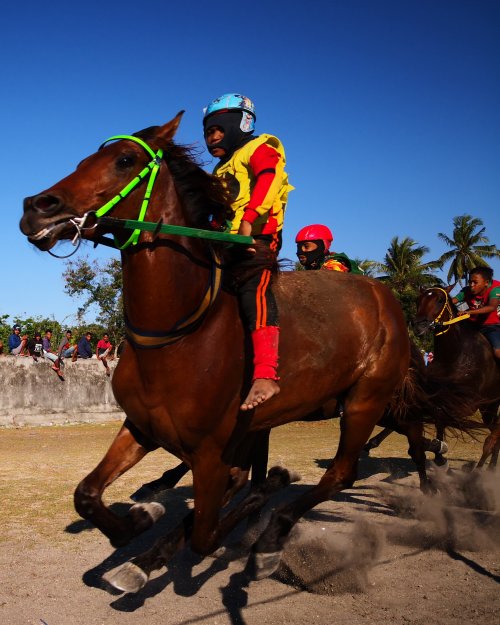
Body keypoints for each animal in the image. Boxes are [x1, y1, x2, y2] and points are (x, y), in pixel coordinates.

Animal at [17, 116, 460, 596]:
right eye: (84, 159)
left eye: (125, 160)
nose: (36, 207)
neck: (180, 337)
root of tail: (387, 299)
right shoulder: (143, 427)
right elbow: (87, 494)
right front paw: (139, 522)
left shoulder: (213, 450)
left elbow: (208, 532)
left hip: (367, 401)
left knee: (344, 472)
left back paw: (274, 535)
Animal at [414, 286, 500, 466]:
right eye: (418, 300)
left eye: (440, 300)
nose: (419, 325)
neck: (455, 354)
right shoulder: (436, 392)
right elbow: (436, 414)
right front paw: (438, 453)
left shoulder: (467, 403)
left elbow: (440, 414)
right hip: (489, 406)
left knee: (494, 434)